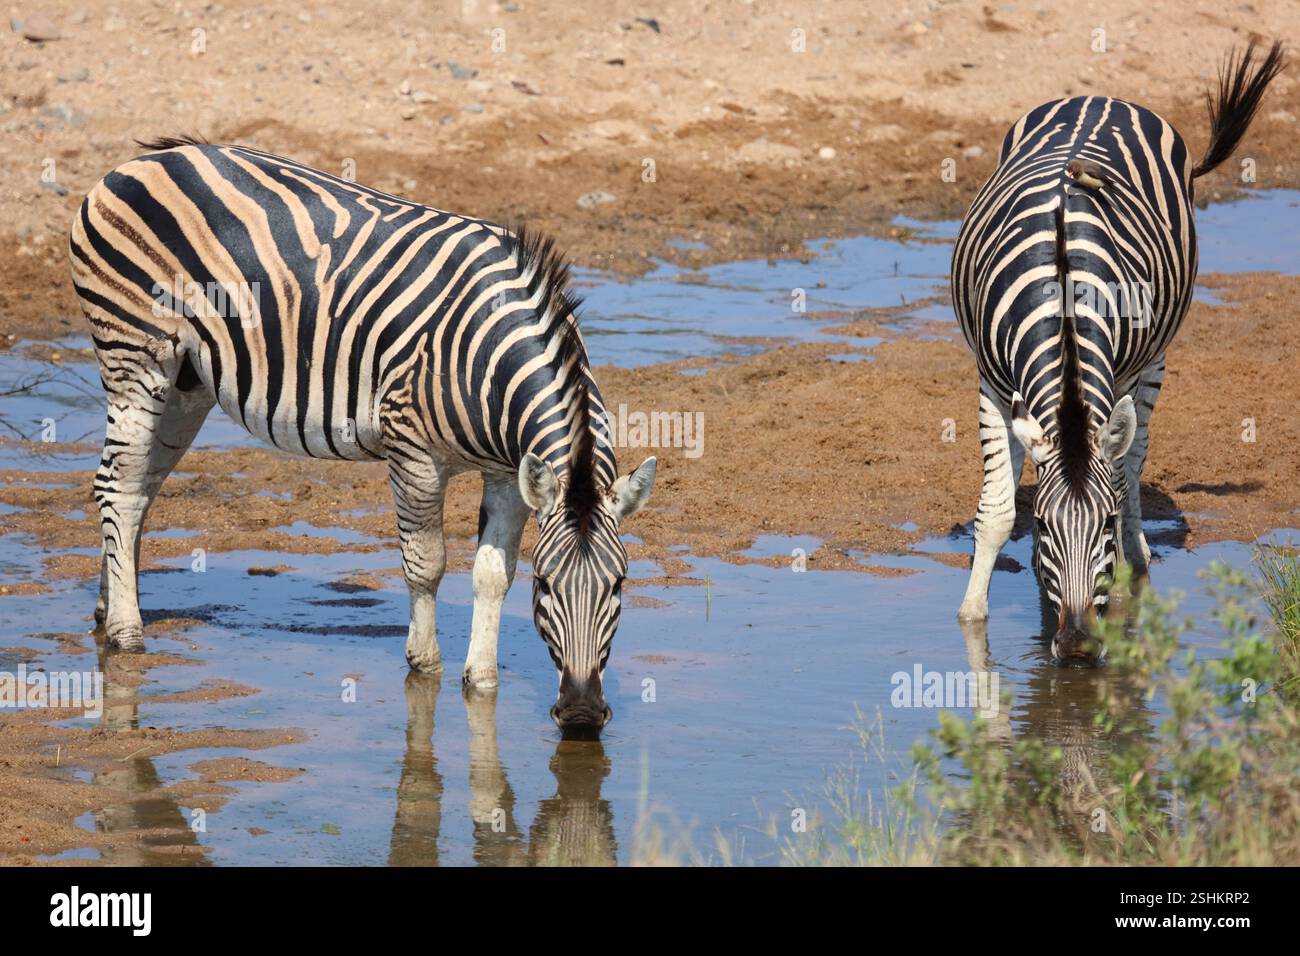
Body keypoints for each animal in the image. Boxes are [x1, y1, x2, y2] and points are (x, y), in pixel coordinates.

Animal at [70, 138, 657, 733]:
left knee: (136, 490)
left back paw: (108, 608)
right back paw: (126, 633)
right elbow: (427, 563)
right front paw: (425, 668)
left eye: (619, 584)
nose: (581, 714)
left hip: (186, 383)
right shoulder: (413, 451)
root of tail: (143, 159)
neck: (490, 364)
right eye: (547, 586)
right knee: (118, 488)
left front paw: (482, 682)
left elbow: (492, 573)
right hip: (134, 354)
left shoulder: (508, 472)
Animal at [951, 41, 1284, 663]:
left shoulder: (1123, 376)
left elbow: (1123, 476)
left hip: (1152, 359)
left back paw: (1139, 558)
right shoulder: (991, 383)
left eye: (1103, 525)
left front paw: (1124, 589)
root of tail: (1100, 95)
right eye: (1044, 528)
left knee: (1134, 459)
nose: (1080, 646)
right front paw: (973, 617)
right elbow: (998, 511)